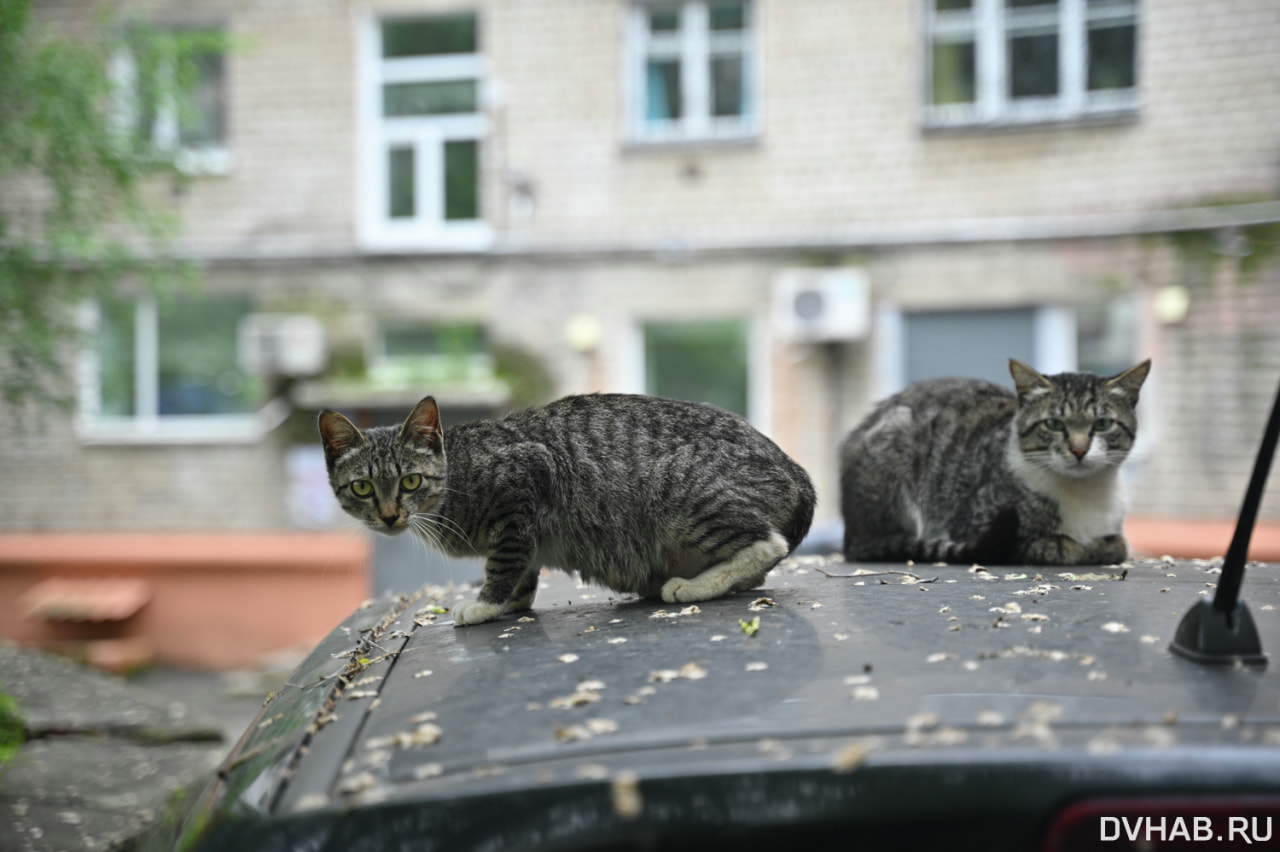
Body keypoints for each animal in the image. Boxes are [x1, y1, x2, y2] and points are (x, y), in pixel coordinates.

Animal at [317, 394, 808, 624]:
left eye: (410, 481)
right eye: (362, 487)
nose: (389, 515)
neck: (455, 475)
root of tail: (792, 465)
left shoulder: (526, 479)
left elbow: (505, 560)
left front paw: (486, 604)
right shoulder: (523, 526)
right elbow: (521, 565)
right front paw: (512, 600)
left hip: (677, 490)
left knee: (768, 545)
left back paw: (694, 586)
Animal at [839, 358, 1152, 562]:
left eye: (1102, 424)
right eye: (1053, 424)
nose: (1078, 450)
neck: (1084, 492)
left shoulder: (1115, 532)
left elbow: (1118, 545)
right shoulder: (974, 526)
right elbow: (1058, 546)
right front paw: (1075, 548)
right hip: (898, 434)